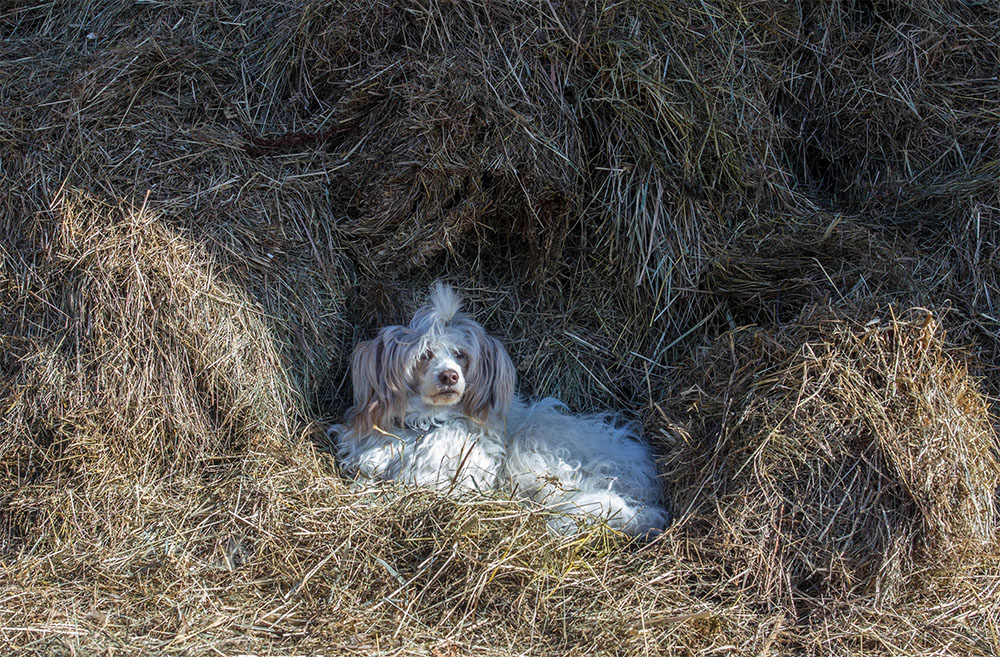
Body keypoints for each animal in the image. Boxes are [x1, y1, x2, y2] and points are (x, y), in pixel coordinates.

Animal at [332, 284, 668, 536]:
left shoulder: (450, 480)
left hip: (535, 458)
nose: (450, 376)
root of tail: (643, 492)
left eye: (461, 355)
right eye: (425, 354)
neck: (427, 425)